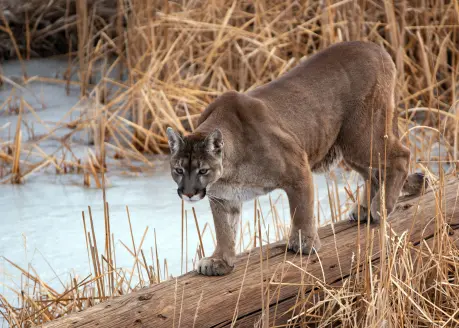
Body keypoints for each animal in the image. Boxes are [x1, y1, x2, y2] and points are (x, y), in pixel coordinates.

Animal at [167, 41, 426, 276]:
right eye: (178, 170)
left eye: (203, 170)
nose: (188, 193)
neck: (229, 173)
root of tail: (375, 46)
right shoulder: (223, 197)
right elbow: (224, 230)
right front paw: (219, 261)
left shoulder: (297, 167)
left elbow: (301, 210)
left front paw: (304, 243)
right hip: (348, 147)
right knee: (374, 171)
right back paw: (364, 208)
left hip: (361, 135)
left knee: (401, 156)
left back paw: (380, 207)